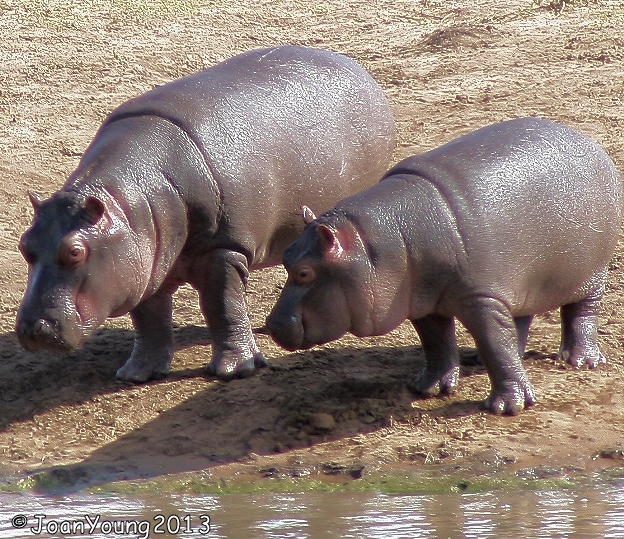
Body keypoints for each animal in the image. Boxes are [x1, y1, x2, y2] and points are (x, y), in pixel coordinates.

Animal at [15, 47, 394, 384]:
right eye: (24, 245)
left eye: (75, 251)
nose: (32, 329)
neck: (132, 203)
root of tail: (359, 70)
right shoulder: (147, 261)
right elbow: (149, 318)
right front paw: (135, 374)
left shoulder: (223, 250)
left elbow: (222, 305)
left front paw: (235, 371)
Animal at [266, 116, 620, 416]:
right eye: (286, 256)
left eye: (305, 272)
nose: (270, 325)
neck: (379, 241)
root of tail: (591, 143)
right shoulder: (423, 301)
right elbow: (436, 341)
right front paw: (427, 388)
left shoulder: (480, 299)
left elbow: (495, 342)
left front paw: (507, 407)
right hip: (521, 281)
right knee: (518, 319)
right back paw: (483, 358)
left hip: (591, 274)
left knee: (581, 312)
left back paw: (581, 361)